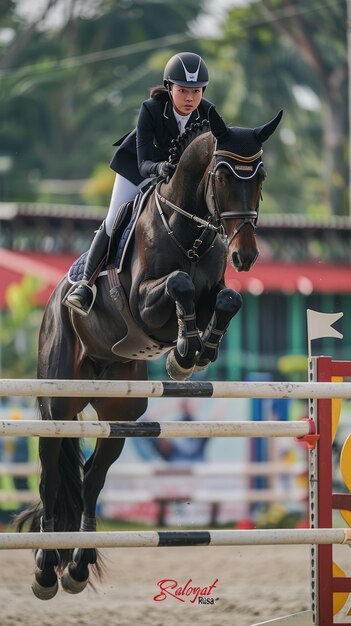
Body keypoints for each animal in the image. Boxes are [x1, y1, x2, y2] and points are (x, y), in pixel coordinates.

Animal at [15, 105, 284, 596]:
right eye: (222, 174)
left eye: (260, 175)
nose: (246, 256)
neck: (191, 232)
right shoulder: (142, 301)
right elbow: (178, 284)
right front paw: (185, 349)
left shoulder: (214, 291)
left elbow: (227, 299)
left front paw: (195, 352)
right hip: (56, 403)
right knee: (50, 475)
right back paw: (46, 569)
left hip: (122, 414)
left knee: (92, 479)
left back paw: (78, 567)